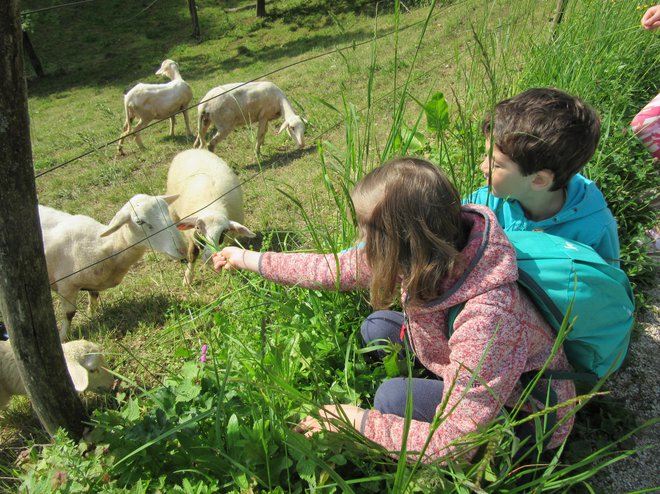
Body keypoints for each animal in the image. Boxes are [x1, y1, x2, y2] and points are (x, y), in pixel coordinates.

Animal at [40, 193, 192, 340]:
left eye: (167, 210)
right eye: (140, 222)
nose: (183, 249)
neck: (106, 246)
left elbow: (94, 297)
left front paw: (92, 314)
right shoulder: (66, 286)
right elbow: (69, 314)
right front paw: (63, 337)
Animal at [166, 149, 256, 284]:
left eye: (224, 232)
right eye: (198, 228)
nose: (209, 257)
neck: (212, 206)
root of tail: (193, 150)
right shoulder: (191, 235)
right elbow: (193, 254)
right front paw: (188, 279)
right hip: (173, 210)